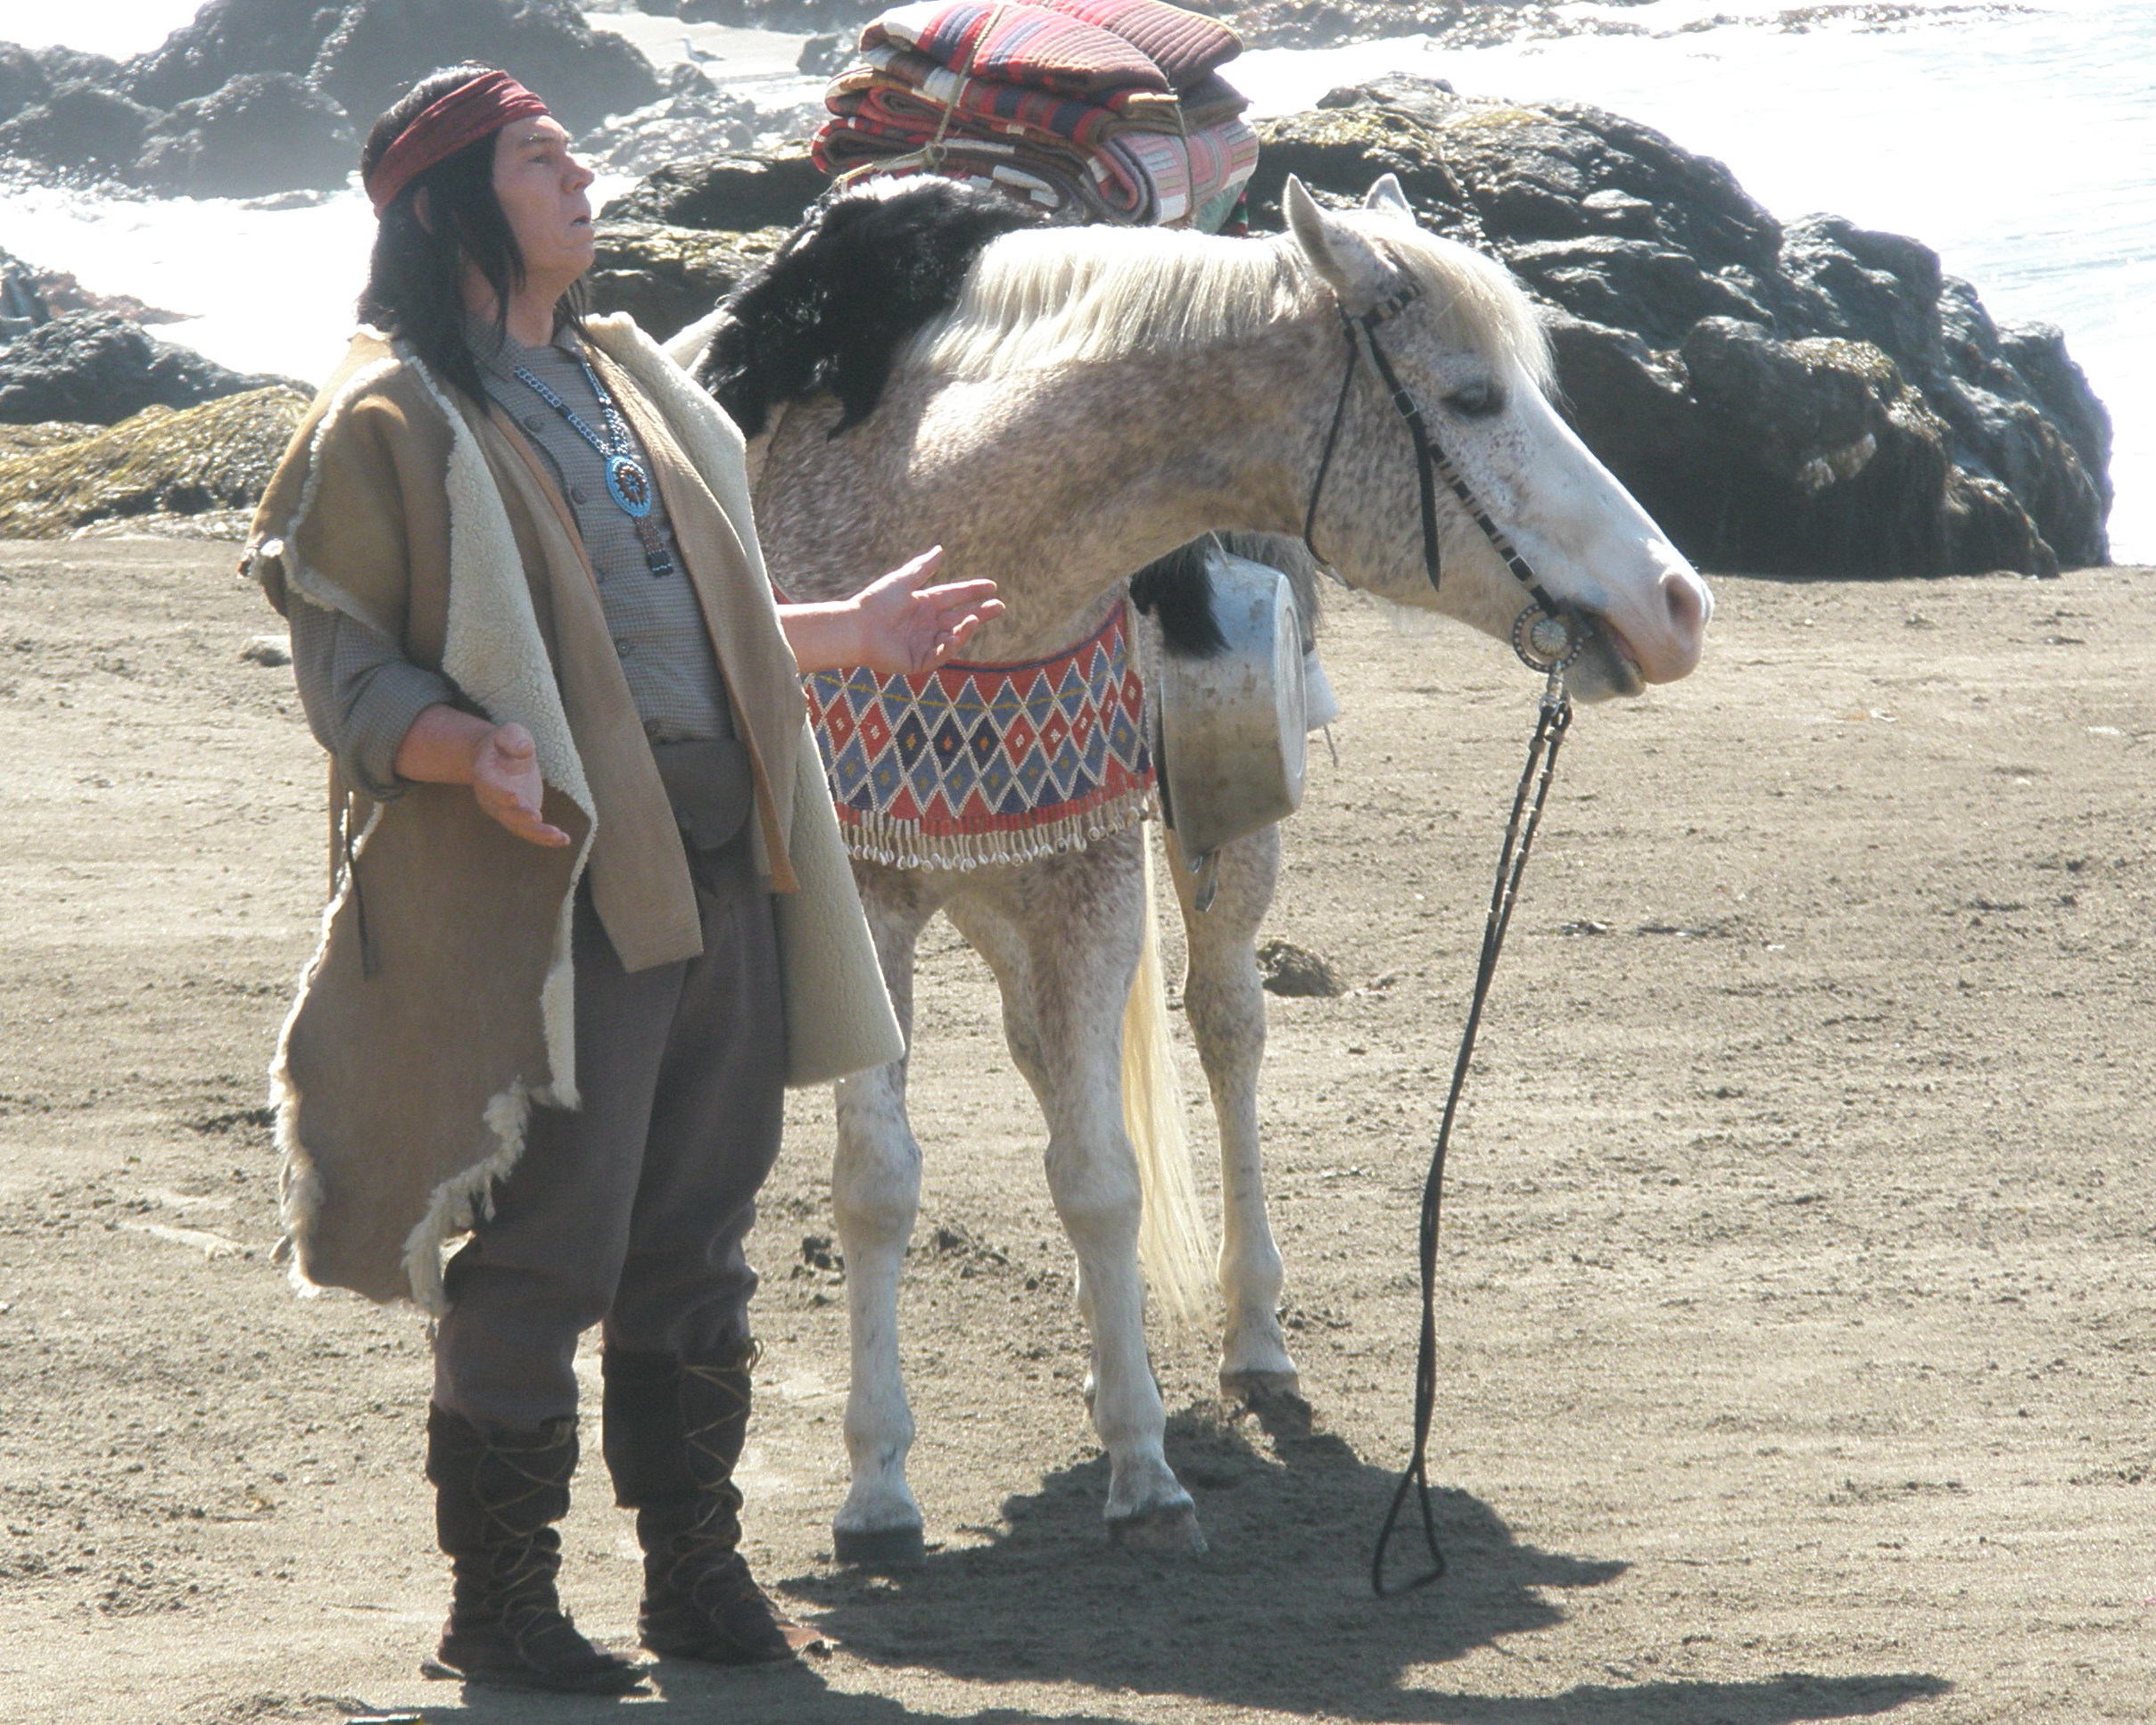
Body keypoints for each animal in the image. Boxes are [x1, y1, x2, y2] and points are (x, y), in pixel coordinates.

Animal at [681, 171, 1707, 1552]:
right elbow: (879, 1182)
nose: (1677, 602)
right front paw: (879, 1482)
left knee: (1224, 1029)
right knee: (1045, 1051)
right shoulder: (872, 895)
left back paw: (1249, 1333)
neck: (932, 519)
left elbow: (1100, 1174)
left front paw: (1144, 1462)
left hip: (1215, 853)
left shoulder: (1093, 875)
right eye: (1470, 398)